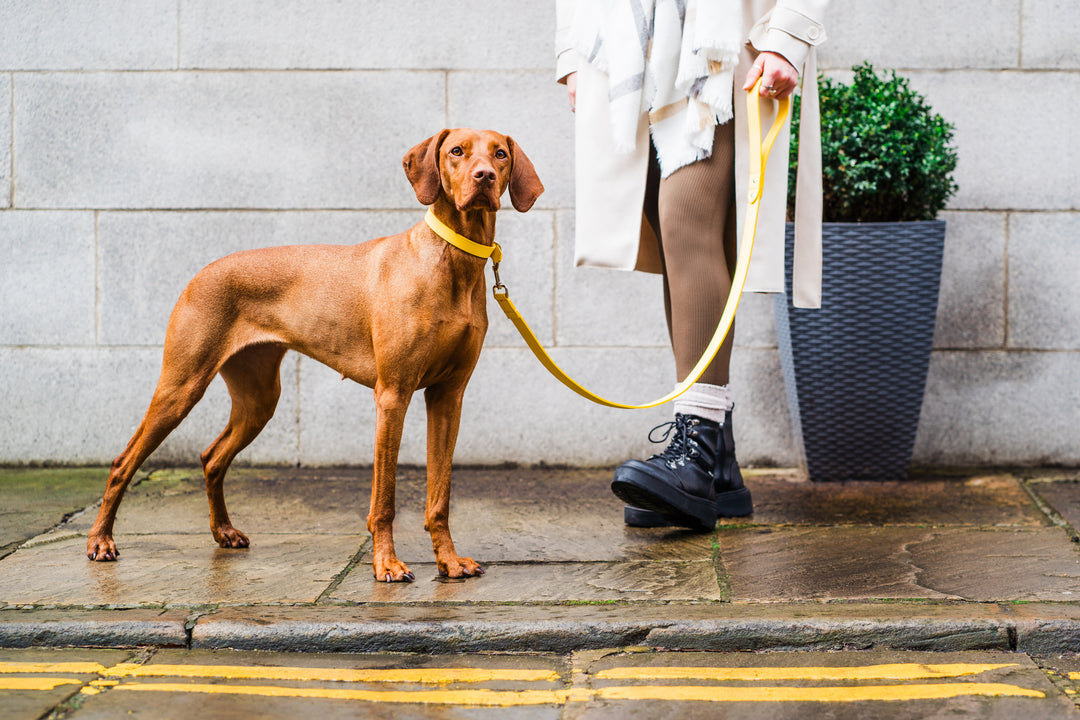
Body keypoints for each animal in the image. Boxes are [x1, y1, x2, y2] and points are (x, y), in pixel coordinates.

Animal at [85, 127, 544, 578]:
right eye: (456, 151)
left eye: (500, 154)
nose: (484, 177)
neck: (451, 261)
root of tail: (201, 273)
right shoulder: (393, 395)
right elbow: (384, 498)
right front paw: (386, 564)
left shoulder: (448, 396)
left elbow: (440, 494)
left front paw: (448, 561)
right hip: (181, 386)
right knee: (123, 462)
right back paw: (101, 541)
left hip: (259, 398)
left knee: (212, 457)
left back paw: (224, 532)